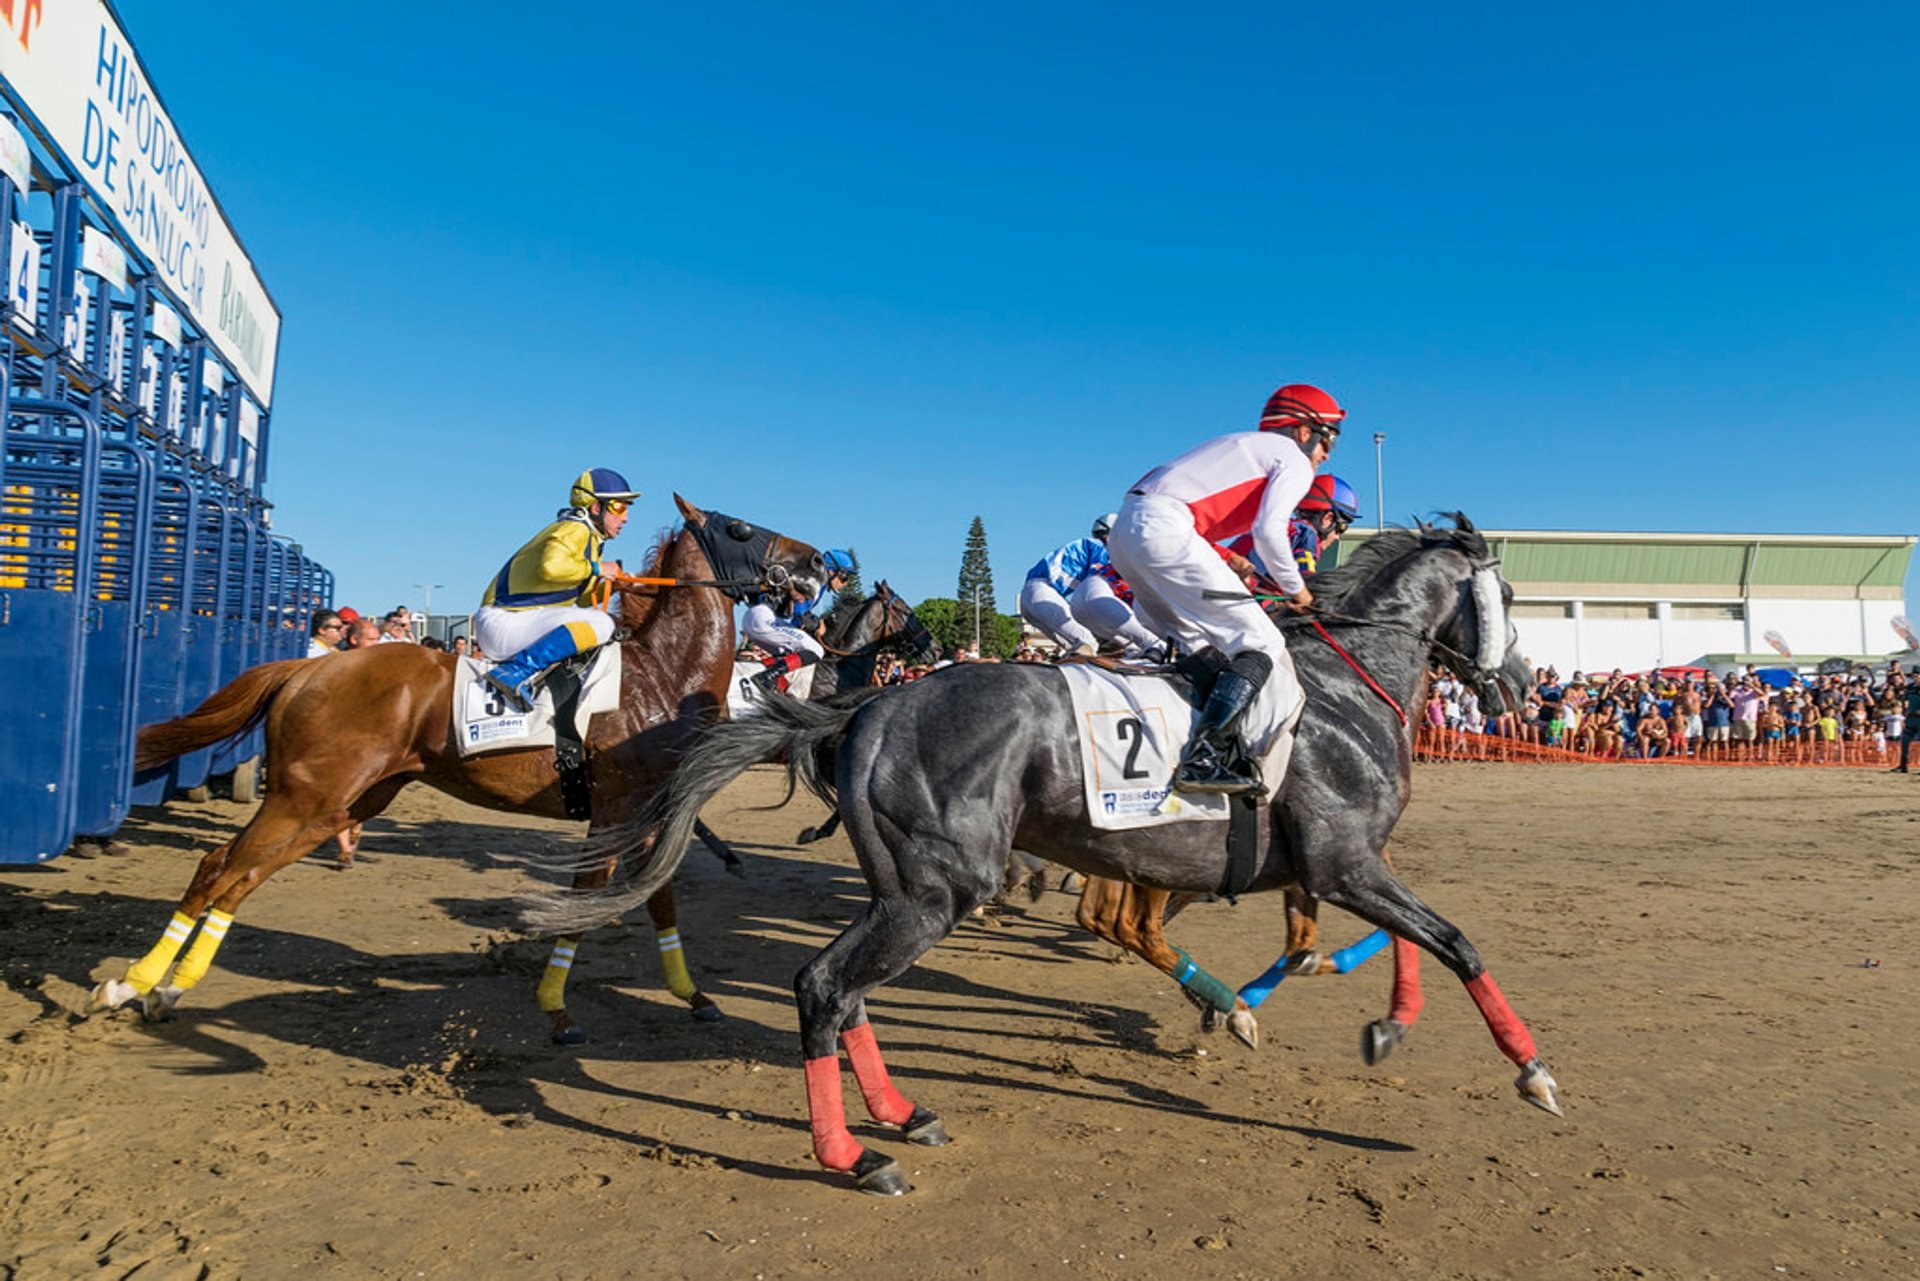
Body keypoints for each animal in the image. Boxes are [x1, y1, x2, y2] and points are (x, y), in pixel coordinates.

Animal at [93, 495, 821, 1044]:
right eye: (740, 527)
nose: (820, 561)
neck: (663, 677)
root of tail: (308, 667)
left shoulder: (649, 816)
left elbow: (659, 899)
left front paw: (693, 995)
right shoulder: (614, 815)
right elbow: (586, 906)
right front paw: (557, 1009)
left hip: (343, 802)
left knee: (233, 874)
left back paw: (163, 987)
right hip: (305, 796)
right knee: (223, 869)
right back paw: (134, 983)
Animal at [529, 514, 1559, 1198]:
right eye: (1508, 596)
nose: (1515, 684)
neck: (1344, 691)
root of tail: (872, 706)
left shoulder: (1335, 868)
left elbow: (1406, 940)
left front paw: (1382, 1022)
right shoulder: (1345, 862)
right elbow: (1454, 940)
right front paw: (1531, 1070)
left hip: (907, 888)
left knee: (848, 990)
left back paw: (902, 1111)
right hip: (937, 890)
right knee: (824, 986)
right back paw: (853, 1153)